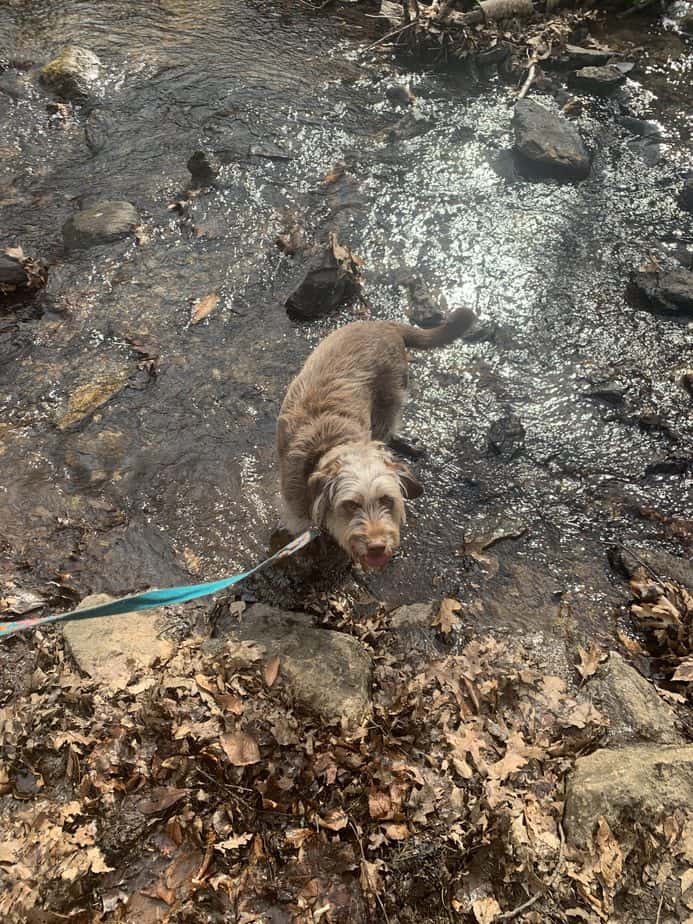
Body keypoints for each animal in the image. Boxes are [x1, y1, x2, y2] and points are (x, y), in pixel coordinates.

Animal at [276, 310, 476, 568]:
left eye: (387, 500)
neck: (327, 446)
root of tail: (385, 324)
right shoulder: (296, 510)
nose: (377, 547)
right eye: (351, 505)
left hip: (391, 398)